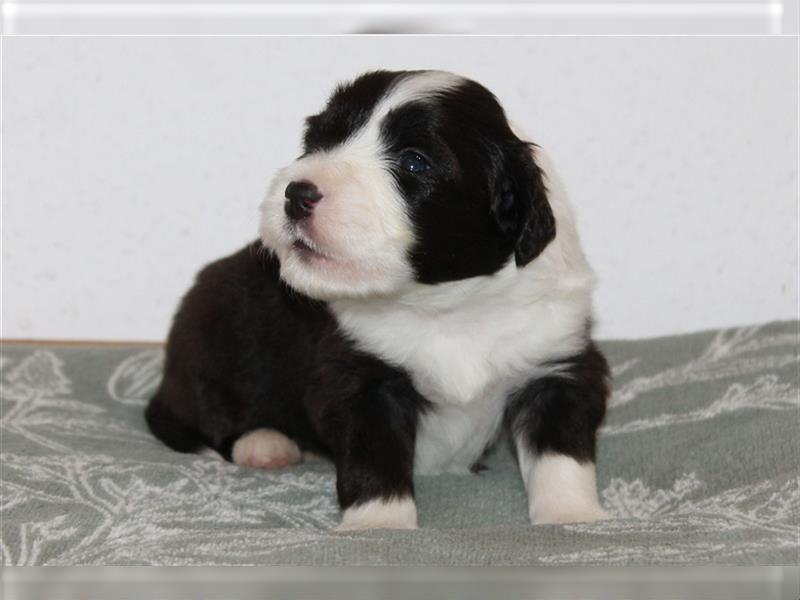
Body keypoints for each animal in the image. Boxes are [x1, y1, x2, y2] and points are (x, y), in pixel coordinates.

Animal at [147, 70, 612, 528]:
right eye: (317, 139)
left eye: (414, 161)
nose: (296, 193)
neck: (447, 306)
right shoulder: (361, 381)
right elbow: (374, 458)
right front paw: (380, 526)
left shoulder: (558, 365)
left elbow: (562, 454)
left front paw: (572, 517)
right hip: (210, 343)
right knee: (198, 417)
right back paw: (264, 443)